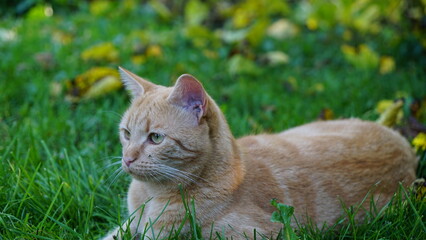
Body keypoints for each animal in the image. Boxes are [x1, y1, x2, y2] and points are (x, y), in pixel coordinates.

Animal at [102, 67, 416, 240]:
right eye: (126, 133)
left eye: (155, 138)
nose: (127, 158)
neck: (150, 197)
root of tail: (405, 146)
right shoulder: (129, 225)